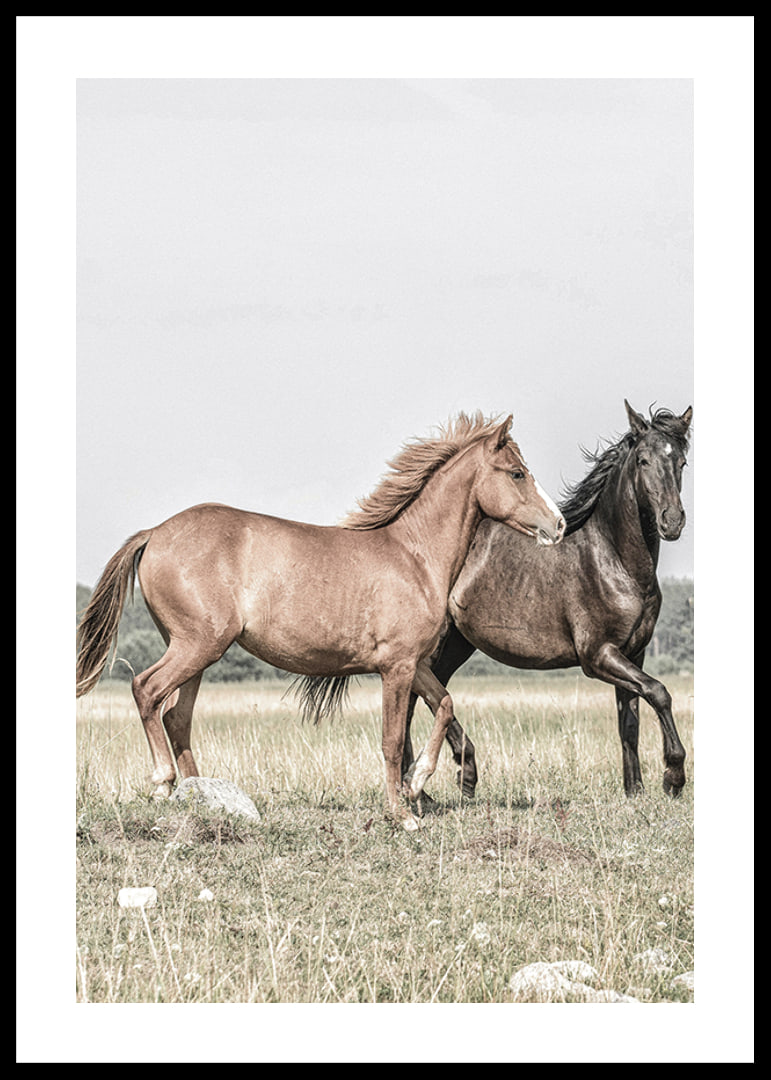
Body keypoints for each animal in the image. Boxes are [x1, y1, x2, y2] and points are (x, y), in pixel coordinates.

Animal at [76, 412, 565, 829]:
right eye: (517, 473)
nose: (558, 525)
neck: (414, 556)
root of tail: (154, 533)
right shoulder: (396, 667)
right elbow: (392, 740)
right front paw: (401, 813)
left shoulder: (414, 664)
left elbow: (444, 705)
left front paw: (417, 783)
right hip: (196, 645)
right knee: (147, 690)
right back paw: (163, 783)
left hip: (197, 652)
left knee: (177, 715)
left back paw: (202, 794)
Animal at [398, 400, 693, 800]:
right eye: (643, 461)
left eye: (682, 462)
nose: (672, 521)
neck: (614, 561)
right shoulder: (598, 655)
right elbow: (659, 692)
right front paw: (673, 777)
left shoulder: (634, 653)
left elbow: (629, 721)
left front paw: (635, 790)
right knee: (415, 698)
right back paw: (431, 782)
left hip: (457, 644)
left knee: (427, 696)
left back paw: (442, 780)